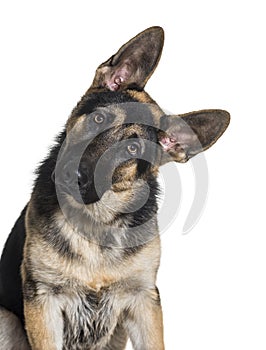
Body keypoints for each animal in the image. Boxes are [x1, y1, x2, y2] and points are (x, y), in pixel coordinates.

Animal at [0, 27, 230, 350]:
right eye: (99, 118)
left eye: (132, 149)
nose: (72, 176)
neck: (95, 222)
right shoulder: (43, 300)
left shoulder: (144, 300)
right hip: (6, 319)